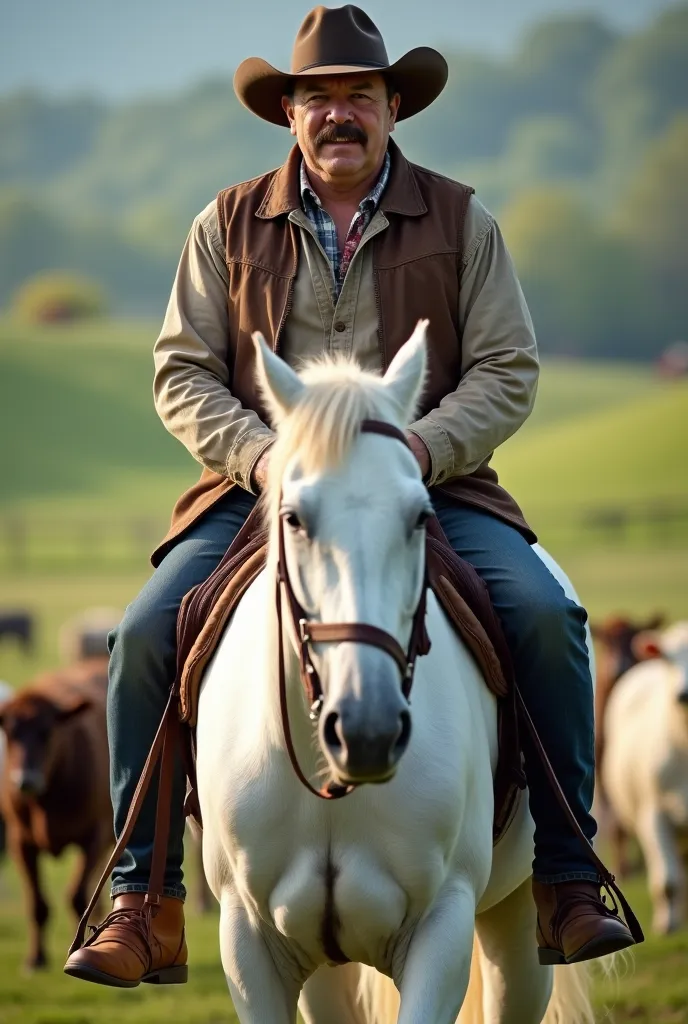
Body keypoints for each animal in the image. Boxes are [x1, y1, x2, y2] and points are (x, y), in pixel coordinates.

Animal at [0, 659, 111, 970]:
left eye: (46, 732)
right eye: (10, 733)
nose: (26, 780)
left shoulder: (95, 836)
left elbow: (78, 896)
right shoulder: (19, 840)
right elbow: (37, 903)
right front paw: (35, 958)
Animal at [196, 321, 593, 1024]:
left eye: (418, 517)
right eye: (294, 517)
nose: (368, 727)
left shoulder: (442, 929)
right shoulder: (249, 943)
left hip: (517, 921)